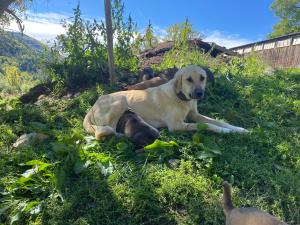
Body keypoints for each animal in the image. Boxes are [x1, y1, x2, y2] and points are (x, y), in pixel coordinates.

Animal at [83, 65, 247, 139]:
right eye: (188, 79)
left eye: (202, 78)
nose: (199, 94)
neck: (180, 97)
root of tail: (91, 108)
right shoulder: (176, 126)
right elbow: (209, 125)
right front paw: (225, 132)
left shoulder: (194, 115)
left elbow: (219, 121)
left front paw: (239, 129)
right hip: (121, 101)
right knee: (109, 130)